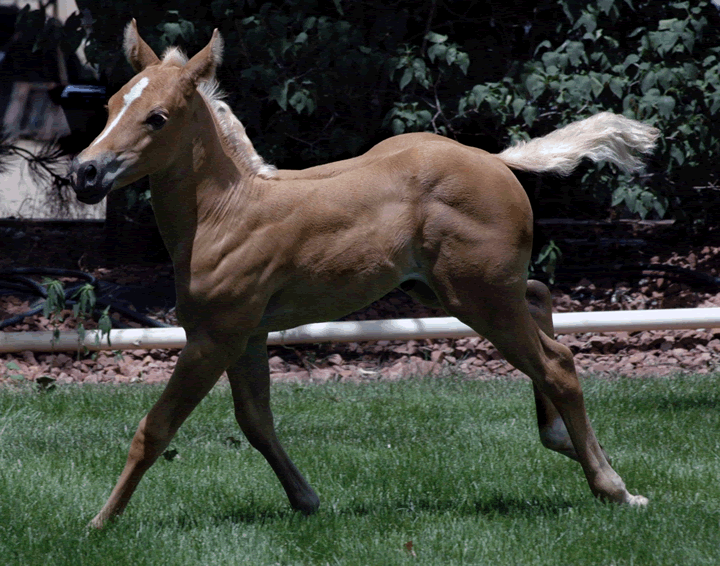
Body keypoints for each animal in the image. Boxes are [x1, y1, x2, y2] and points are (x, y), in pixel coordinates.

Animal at [70, 20, 659, 528]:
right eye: (111, 104)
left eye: (158, 117)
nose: (85, 173)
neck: (227, 213)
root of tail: (497, 160)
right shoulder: (249, 336)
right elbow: (255, 420)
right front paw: (306, 500)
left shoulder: (214, 338)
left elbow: (156, 428)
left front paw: (99, 523)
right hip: (450, 291)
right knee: (538, 295)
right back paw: (567, 443)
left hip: (477, 297)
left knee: (556, 363)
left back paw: (612, 487)